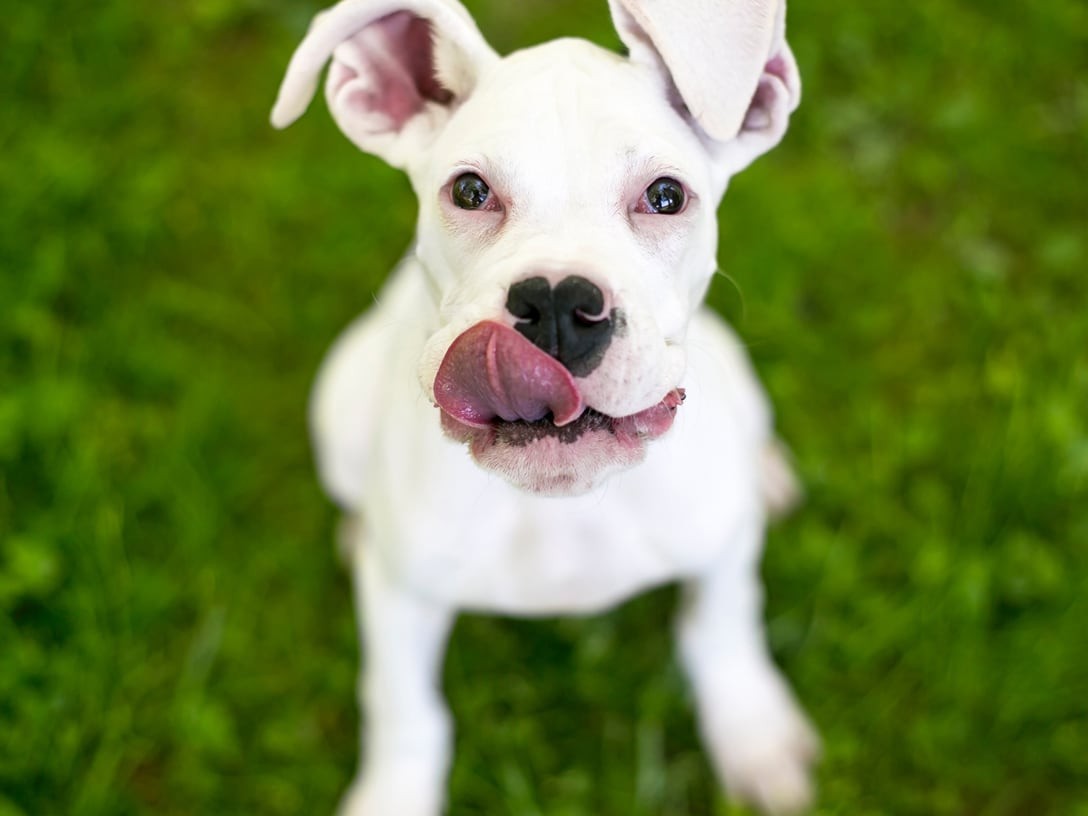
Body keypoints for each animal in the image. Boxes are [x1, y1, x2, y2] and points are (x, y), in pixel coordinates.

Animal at [269, 0, 818, 813]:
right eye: (469, 191)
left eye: (666, 196)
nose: (558, 303)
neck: (561, 506)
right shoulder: (398, 602)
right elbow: (404, 707)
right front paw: (395, 793)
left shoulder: (723, 552)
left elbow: (724, 630)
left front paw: (754, 734)